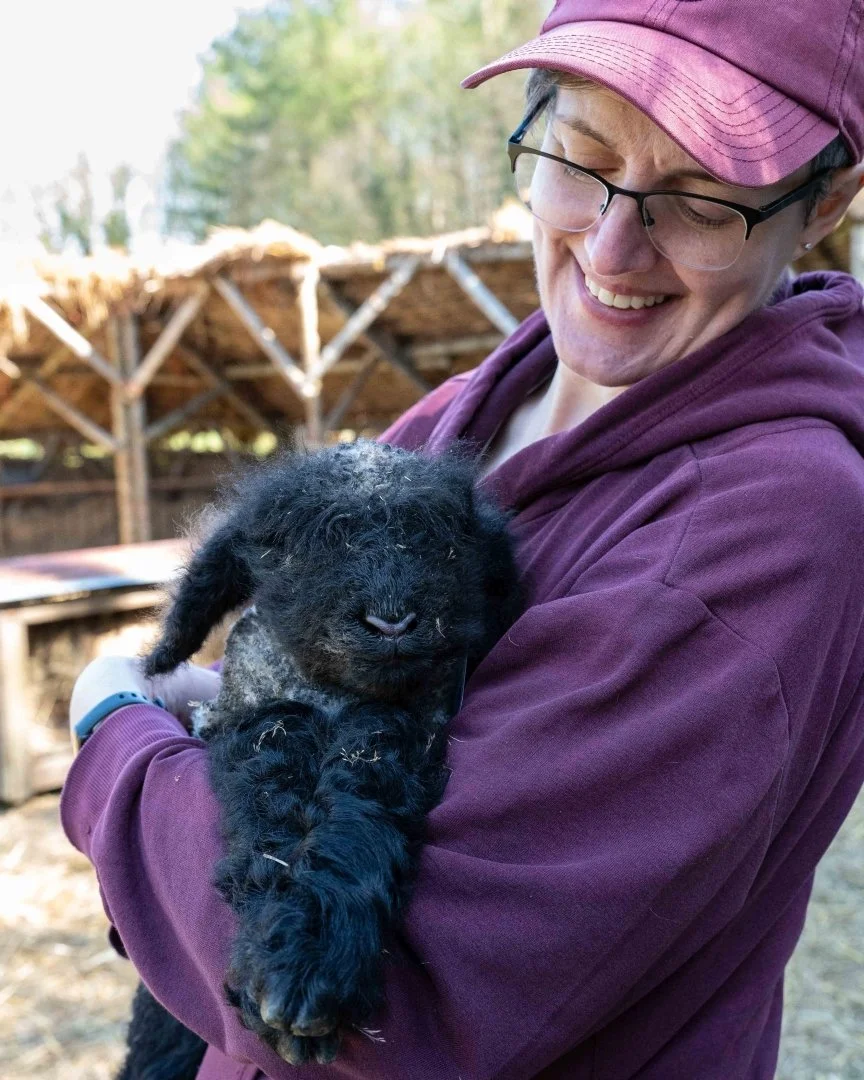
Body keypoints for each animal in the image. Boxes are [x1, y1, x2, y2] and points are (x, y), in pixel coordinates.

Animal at [116, 439, 523, 1076]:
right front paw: (287, 958)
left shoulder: (410, 723)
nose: (391, 619)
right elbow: (275, 772)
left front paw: (312, 958)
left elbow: (369, 764)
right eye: (292, 550)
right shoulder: (248, 716)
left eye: (446, 544)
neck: (332, 693)